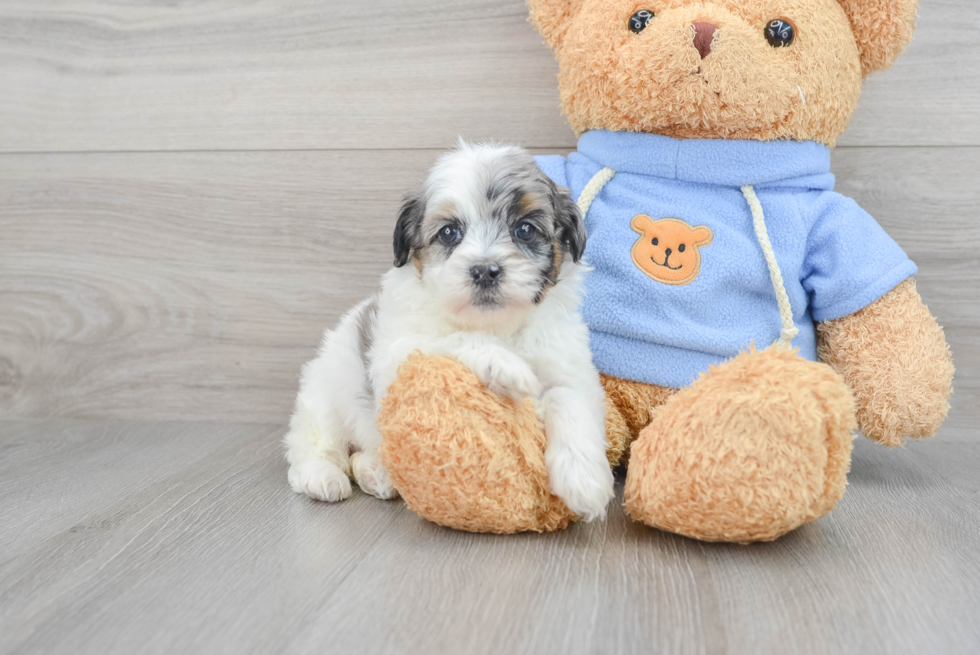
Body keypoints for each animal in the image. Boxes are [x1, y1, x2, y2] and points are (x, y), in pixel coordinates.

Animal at [284, 142, 616, 524]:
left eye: (525, 229)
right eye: (448, 233)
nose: (485, 270)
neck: (497, 324)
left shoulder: (569, 366)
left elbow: (570, 400)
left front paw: (585, 480)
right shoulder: (400, 352)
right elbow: (451, 338)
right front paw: (505, 365)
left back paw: (377, 474)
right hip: (325, 393)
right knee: (314, 445)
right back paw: (321, 476)